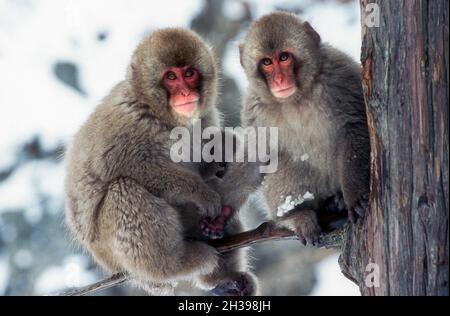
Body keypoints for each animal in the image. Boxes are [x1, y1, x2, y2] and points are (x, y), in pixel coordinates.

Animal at [65, 27, 258, 296]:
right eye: (171, 77)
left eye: (189, 73)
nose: (186, 93)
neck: (164, 116)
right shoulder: (128, 124)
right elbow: (137, 168)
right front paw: (199, 192)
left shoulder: (205, 116)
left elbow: (205, 165)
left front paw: (225, 146)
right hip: (113, 251)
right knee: (124, 189)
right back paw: (176, 263)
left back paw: (223, 277)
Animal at [239, 12, 370, 244]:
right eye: (266, 62)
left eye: (284, 57)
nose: (279, 79)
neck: (296, 98)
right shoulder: (253, 110)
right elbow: (260, 156)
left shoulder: (340, 78)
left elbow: (354, 125)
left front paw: (353, 193)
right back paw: (299, 214)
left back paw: (338, 200)